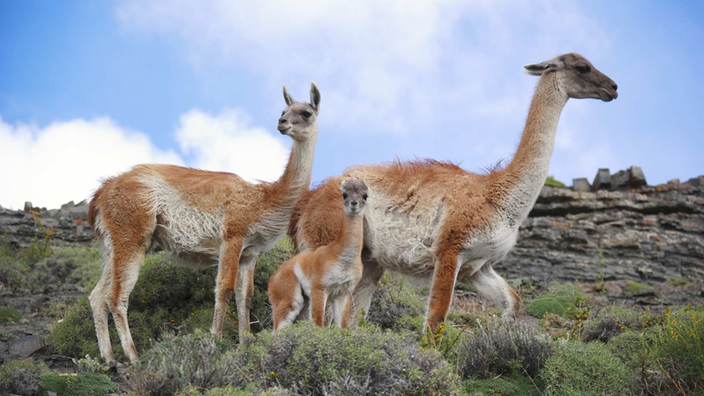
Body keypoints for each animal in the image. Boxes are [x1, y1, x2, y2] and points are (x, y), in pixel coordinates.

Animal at [268, 179, 368, 328]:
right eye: (344, 194)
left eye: (365, 196)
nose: (354, 203)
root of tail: (273, 278)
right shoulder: (319, 287)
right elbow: (318, 325)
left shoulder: (344, 292)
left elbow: (342, 327)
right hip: (289, 298)